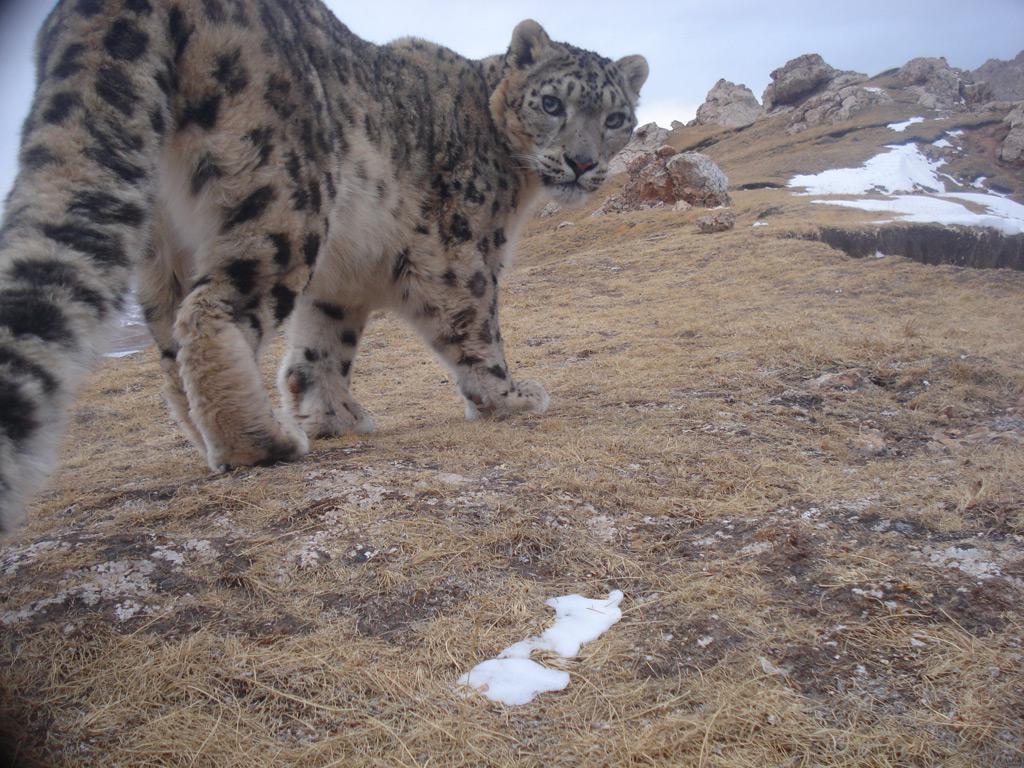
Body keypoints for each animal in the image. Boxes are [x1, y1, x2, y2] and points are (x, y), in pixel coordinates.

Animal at [0, 0, 647, 532]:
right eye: (552, 103)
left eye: (616, 119)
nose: (582, 162)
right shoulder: (460, 251)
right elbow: (477, 325)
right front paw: (509, 395)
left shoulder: (341, 284)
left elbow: (320, 349)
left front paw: (332, 415)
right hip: (283, 196)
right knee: (210, 310)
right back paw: (261, 442)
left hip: (162, 247)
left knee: (169, 348)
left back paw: (216, 442)